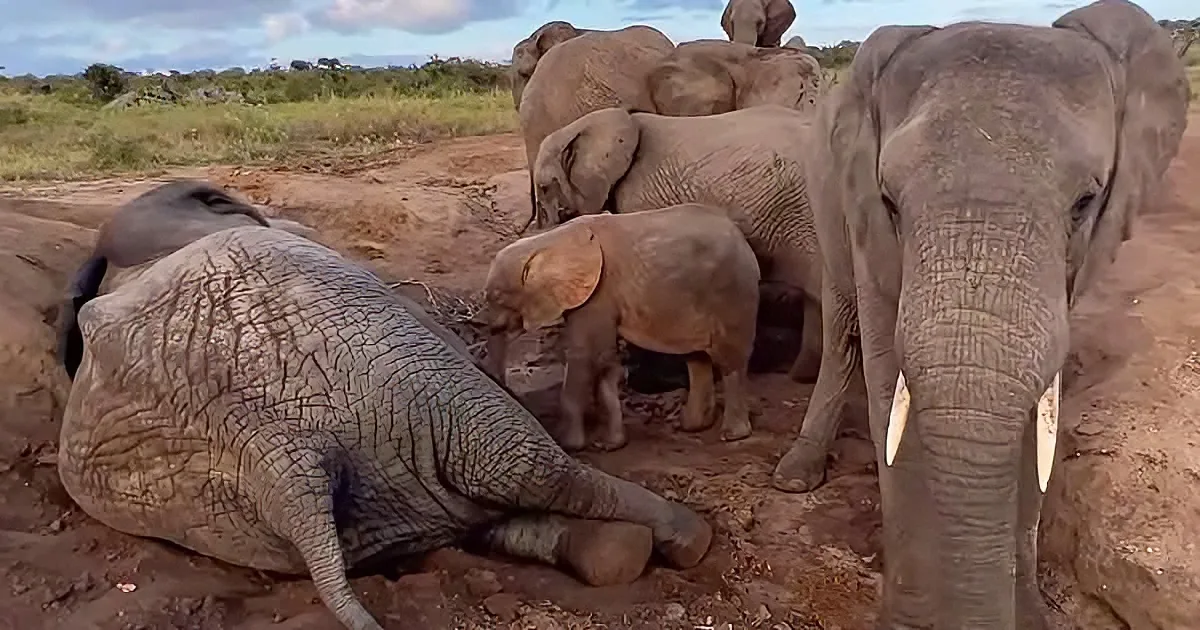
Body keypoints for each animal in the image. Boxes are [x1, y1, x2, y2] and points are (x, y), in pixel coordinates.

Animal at [474, 204, 761, 451]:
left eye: (497, 298)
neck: (547, 242)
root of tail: (744, 243)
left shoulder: (598, 294)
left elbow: (585, 357)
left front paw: (568, 445)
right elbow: (605, 361)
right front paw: (609, 444)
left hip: (733, 294)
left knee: (730, 361)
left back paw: (732, 435)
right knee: (696, 359)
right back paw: (690, 426)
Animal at [768, 1, 1191, 628]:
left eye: (1086, 203)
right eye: (889, 201)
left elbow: (1037, 413)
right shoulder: (866, 218)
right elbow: (888, 383)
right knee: (841, 322)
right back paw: (796, 476)